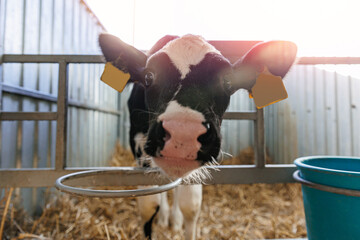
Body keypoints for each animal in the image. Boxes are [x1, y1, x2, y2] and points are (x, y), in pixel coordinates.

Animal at [100, 34, 296, 240]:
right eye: (148, 76)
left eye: (227, 81)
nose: (183, 132)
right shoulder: (138, 145)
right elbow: (149, 203)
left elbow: (190, 205)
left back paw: (175, 221)